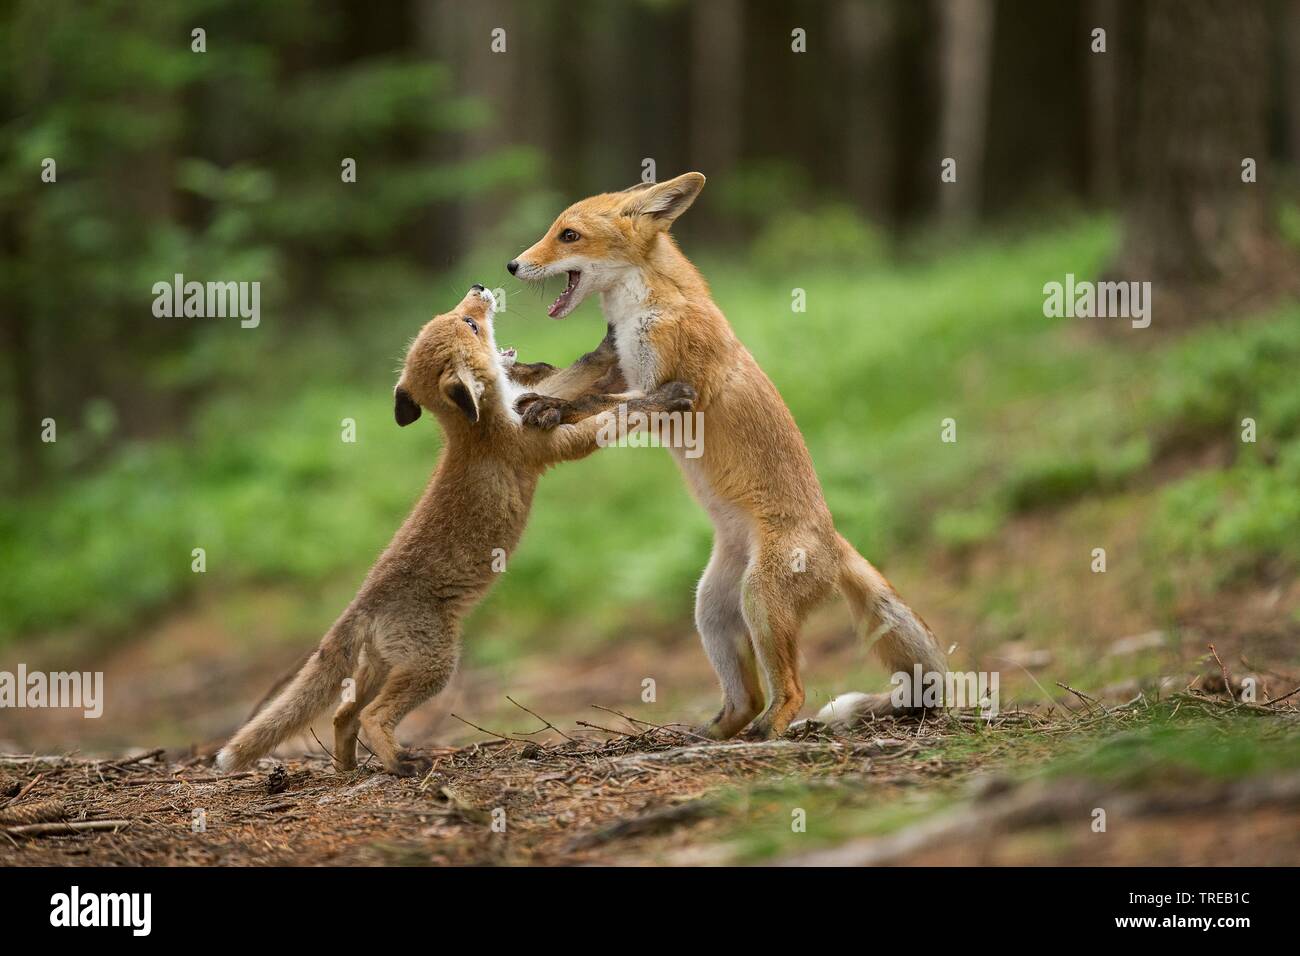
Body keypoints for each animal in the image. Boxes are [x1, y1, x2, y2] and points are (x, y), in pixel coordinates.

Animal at [218, 286, 696, 780]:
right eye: (469, 324)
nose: (479, 288)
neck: (480, 425)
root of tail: (362, 603)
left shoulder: (529, 399)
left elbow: (576, 376)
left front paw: (606, 345)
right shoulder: (550, 445)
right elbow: (619, 415)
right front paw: (666, 398)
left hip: (382, 666)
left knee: (342, 714)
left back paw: (348, 769)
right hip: (433, 665)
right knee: (370, 715)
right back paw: (400, 762)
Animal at [506, 174, 946, 738]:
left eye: (568, 235)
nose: (512, 265)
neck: (642, 310)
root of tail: (834, 540)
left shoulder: (671, 395)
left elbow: (599, 403)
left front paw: (551, 406)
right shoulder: (623, 370)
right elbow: (586, 384)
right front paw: (533, 387)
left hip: (761, 602)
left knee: (792, 691)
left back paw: (767, 735)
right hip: (713, 609)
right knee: (745, 697)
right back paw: (706, 736)